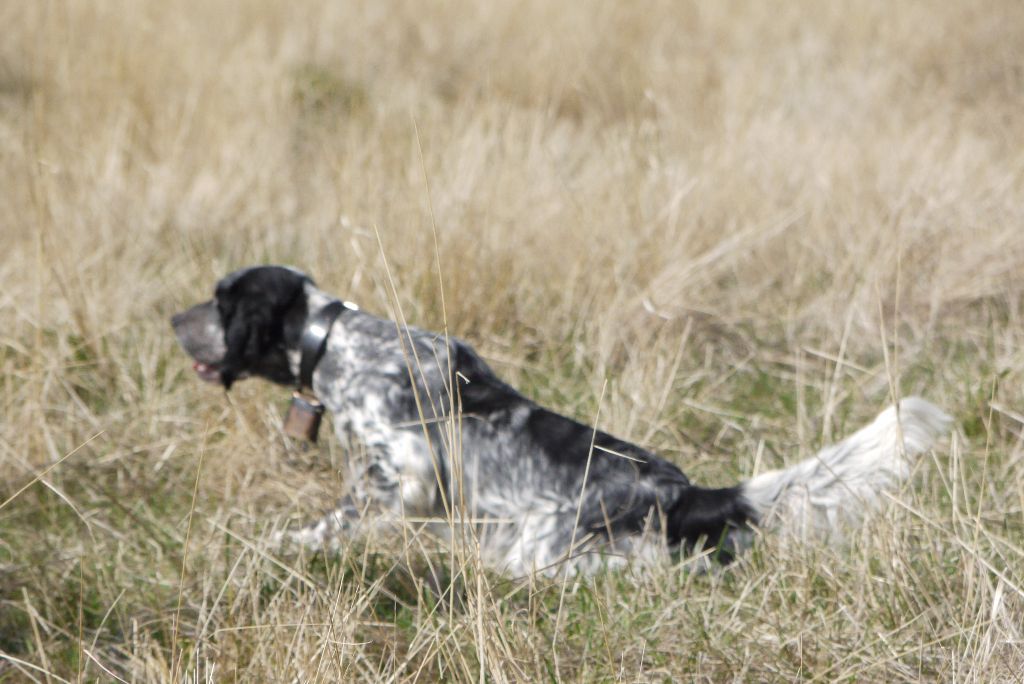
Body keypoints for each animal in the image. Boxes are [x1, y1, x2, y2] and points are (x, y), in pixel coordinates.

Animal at [169, 264, 950, 573]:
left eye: (222, 300)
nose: (174, 319)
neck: (335, 341)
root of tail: (687, 493)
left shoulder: (402, 469)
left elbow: (337, 517)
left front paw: (285, 544)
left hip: (543, 547)